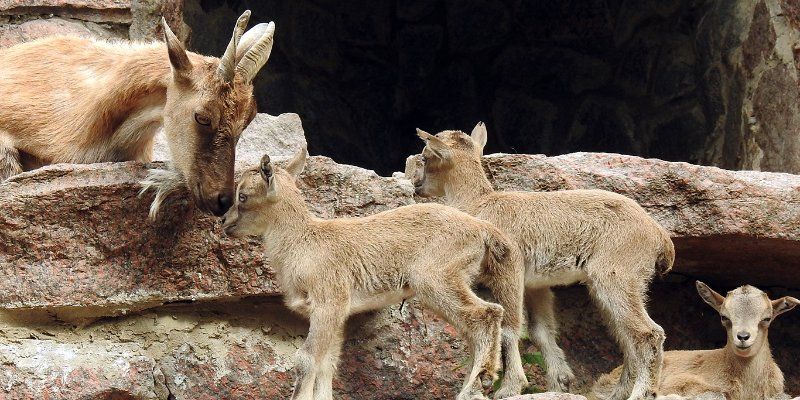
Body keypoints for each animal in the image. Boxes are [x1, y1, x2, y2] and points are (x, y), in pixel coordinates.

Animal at [221, 148, 527, 400]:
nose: (224, 222)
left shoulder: (329, 302)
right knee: (473, 328)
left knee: (487, 314)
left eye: (243, 196)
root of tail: (483, 229)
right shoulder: (338, 313)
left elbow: (307, 359)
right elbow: (327, 364)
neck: (303, 243)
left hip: (435, 278)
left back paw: (476, 386)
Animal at [408, 122, 675, 400]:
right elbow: (541, 331)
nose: (417, 186)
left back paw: (641, 392)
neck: (481, 205)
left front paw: (510, 387)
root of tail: (660, 236)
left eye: (426, 157)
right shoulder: (535, 285)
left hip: (616, 275)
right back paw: (619, 392)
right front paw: (560, 383)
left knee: (649, 333)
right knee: (626, 335)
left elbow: (510, 326)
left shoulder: (510, 268)